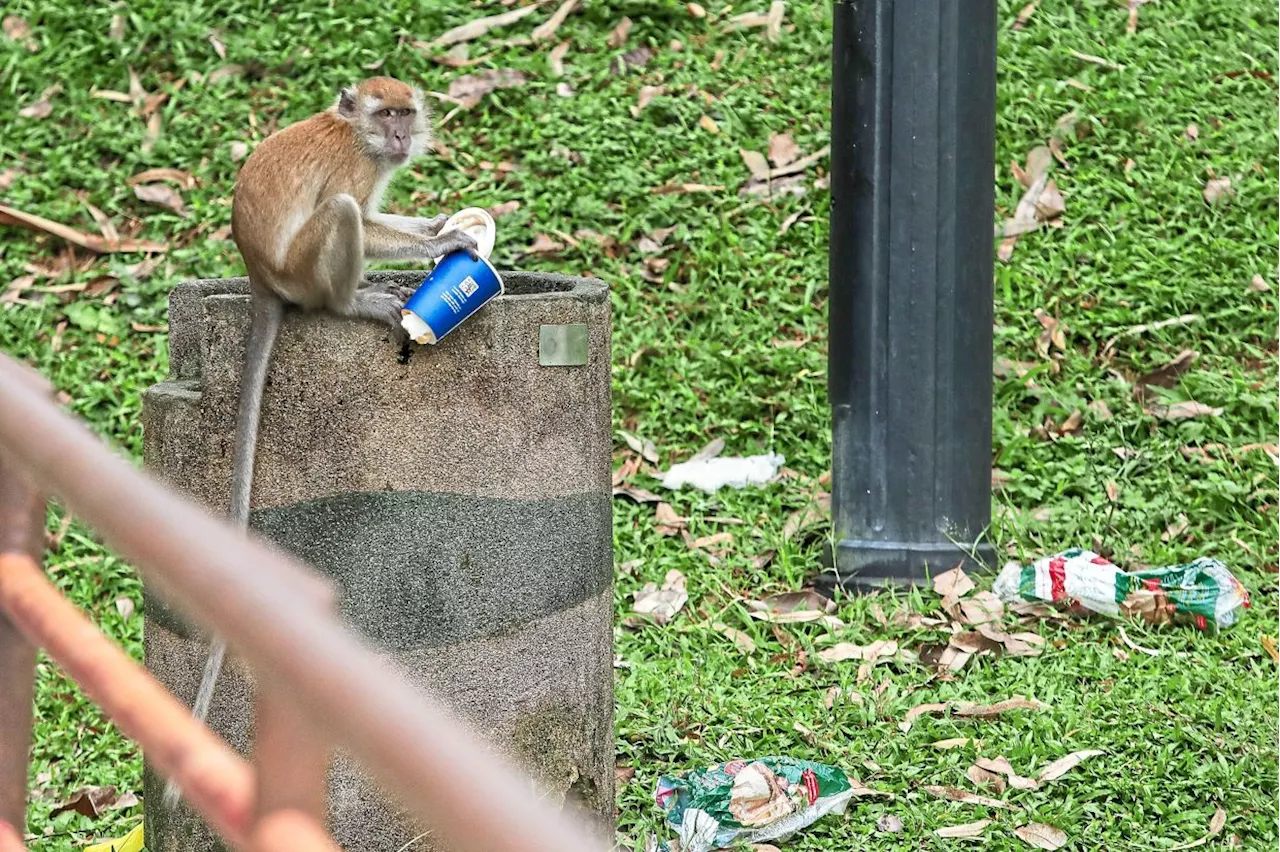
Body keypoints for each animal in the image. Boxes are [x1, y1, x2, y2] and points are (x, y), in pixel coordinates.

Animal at [163, 78, 476, 803]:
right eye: (386, 115)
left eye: (406, 112)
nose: (400, 137)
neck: (355, 133)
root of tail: (260, 278)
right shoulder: (355, 166)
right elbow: (361, 211)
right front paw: (450, 244)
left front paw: (442, 224)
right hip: (306, 268)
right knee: (341, 216)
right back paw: (350, 303)